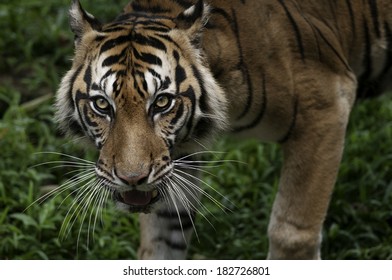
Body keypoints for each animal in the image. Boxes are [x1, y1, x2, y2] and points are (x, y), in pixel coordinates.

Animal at [55, 0, 392, 260]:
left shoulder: (325, 105)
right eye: (102, 104)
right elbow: (162, 237)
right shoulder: (177, 160)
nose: (132, 179)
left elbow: (292, 232)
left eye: (162, 102)